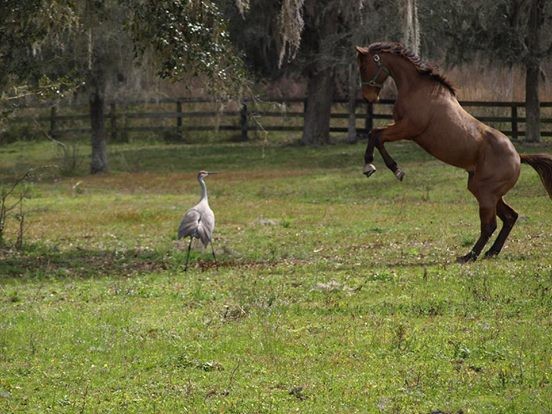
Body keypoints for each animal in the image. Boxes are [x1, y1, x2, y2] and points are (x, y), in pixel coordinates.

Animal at [356, 42, 552, 262]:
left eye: (363, 66)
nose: (368, 97)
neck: (417, 88)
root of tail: (518, 157)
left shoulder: (408, 129)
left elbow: (376, 135)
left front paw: (377, 167)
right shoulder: (401, 127)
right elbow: (375, 134)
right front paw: (387, 168)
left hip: (485, 193)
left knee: (490, 225)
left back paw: (470, 256)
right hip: (489, 193)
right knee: (510, 217)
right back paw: (491, 252)